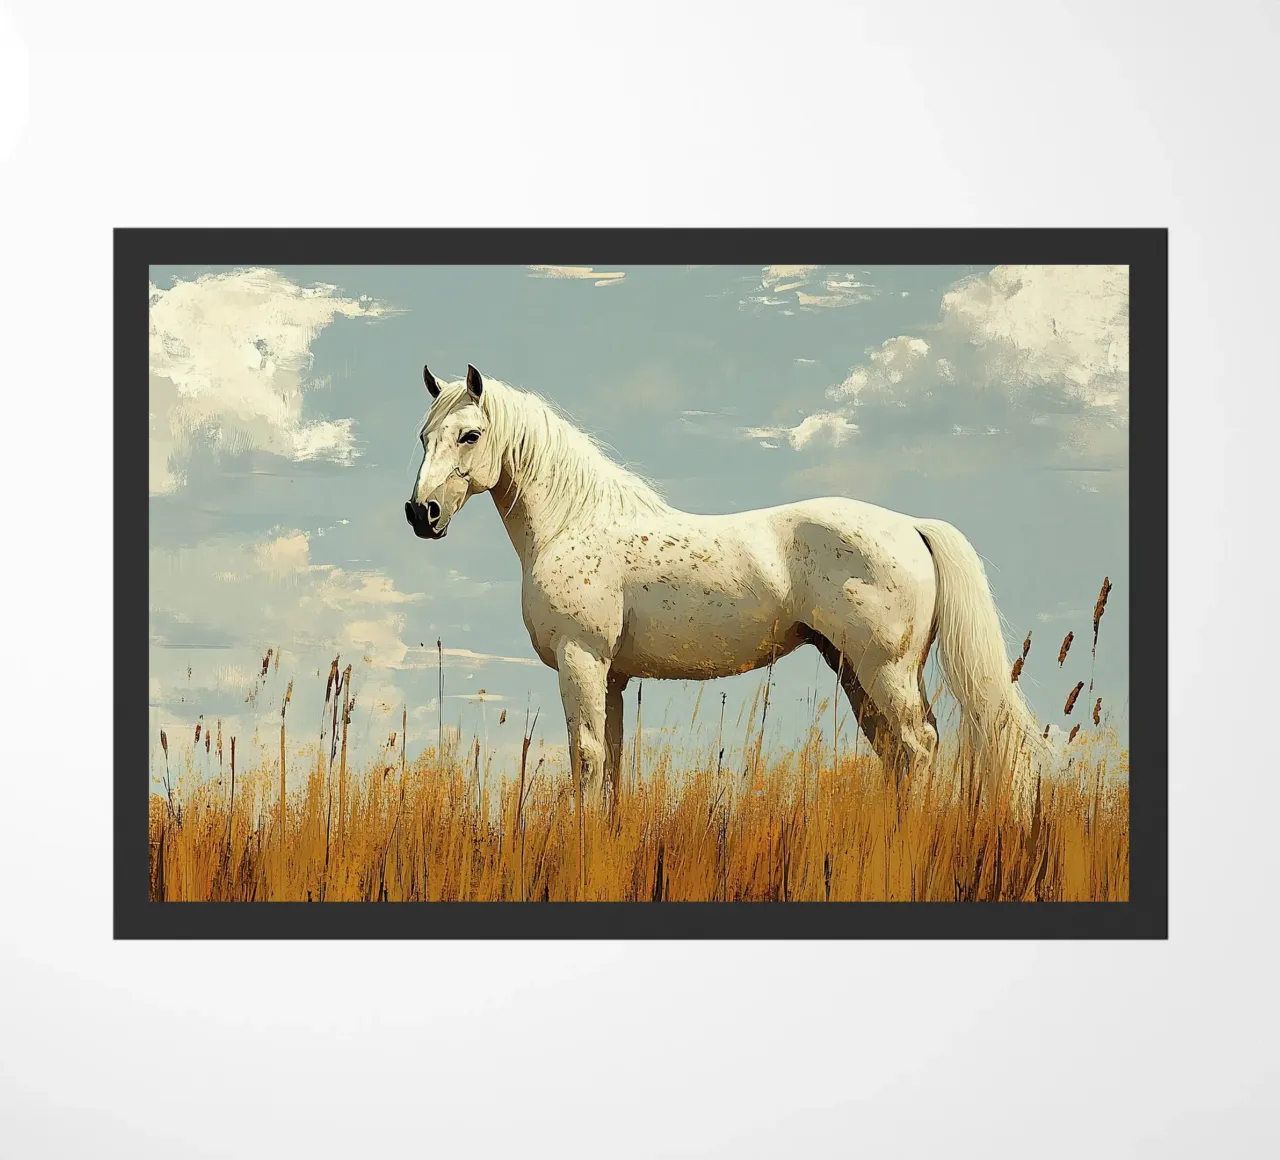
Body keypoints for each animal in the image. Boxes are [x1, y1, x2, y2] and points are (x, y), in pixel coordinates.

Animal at [406, 364, 1050, 816]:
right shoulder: (612, 676)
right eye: (424, 436)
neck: (575, 523)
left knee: (919, 745)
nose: (421, 513)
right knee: (896, 753)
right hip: (855, 671)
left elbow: (585, 756)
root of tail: (912, 526)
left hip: (884, 670)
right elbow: (611, 760)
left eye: (470, 435)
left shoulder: (581, 660)